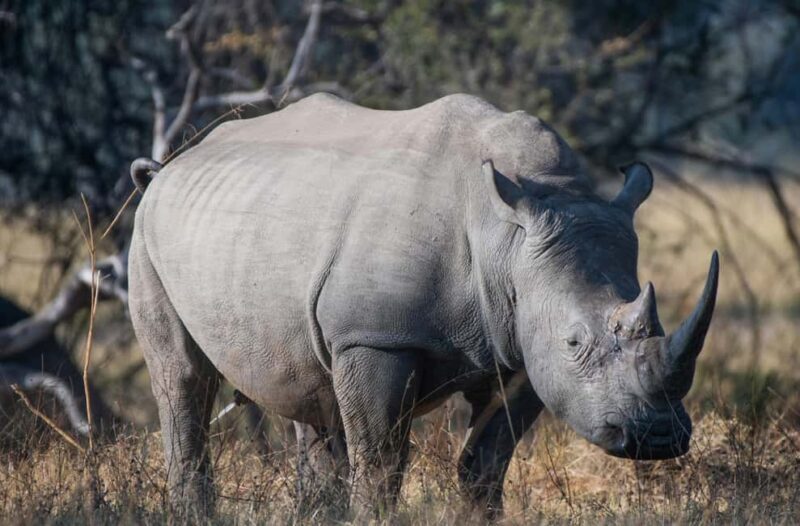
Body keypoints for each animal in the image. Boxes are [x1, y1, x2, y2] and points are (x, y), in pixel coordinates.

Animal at [128, 93, 718, 517]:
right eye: (574, 340)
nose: (657, 438)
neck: (506, 238)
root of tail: (169, 167)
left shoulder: (522, 350)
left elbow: (486, 463)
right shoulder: (374, 338)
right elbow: (381, 461)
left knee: (306, 392)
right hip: (146, 233)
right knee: (182, 380)